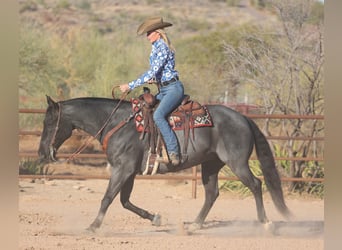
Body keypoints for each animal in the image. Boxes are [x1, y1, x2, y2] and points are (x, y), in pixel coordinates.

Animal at [38, 95, 292, 232]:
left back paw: (266, 223)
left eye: (49, 123)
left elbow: (108, 198)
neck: (117, 123)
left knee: (256, 185)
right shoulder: (129, 172)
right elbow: (124, 201)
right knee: (212, 193)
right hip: (210, 165)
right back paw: (195, 225)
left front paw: (93, 226)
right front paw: (155, 218)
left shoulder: (123, 169)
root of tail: (243, 118)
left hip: (237, 163)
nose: (42, 153)